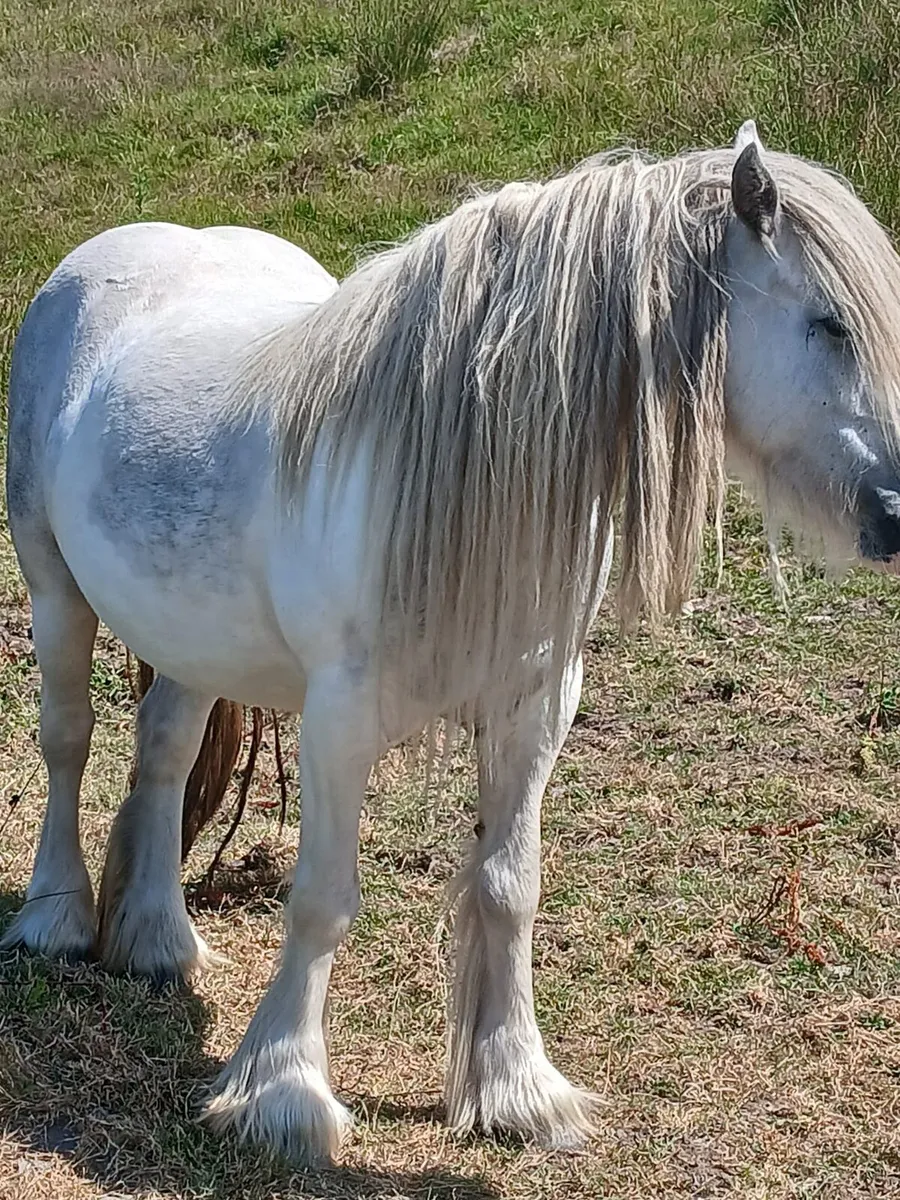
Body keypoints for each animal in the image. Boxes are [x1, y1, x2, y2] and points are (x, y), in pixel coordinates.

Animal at [5, 120, 900, 1164]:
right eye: (831, 323)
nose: (896, 513)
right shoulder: (339, 718)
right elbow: (323, 897)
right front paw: (283, 1094)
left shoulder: (535, 707)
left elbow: (510, 887)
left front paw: (517, 1089)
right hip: (53, 585)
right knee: (69, 740)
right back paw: (55, 918)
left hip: (192, 633)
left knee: (162, 750)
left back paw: (156, 940)